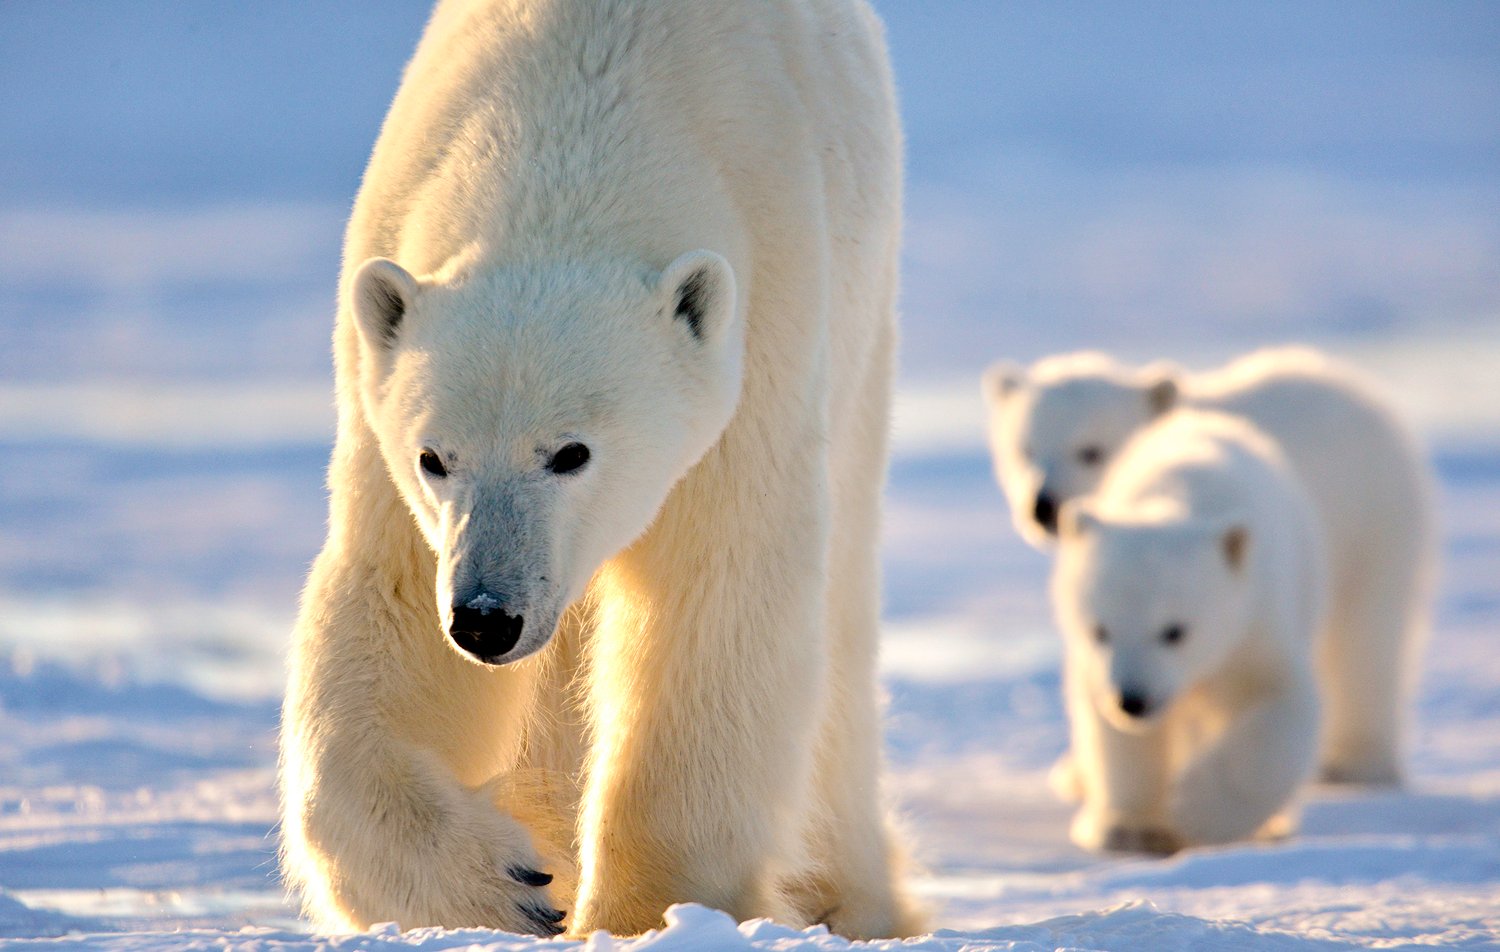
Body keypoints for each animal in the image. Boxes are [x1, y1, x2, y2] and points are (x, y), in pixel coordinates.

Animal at [280, 0, 912, 941]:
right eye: (435, 457)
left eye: (571, 452)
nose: (487, 618)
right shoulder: (381, 410)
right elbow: (390, 604)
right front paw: (507, 884)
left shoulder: (765, 333)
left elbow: (714, 605)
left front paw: (648, 912)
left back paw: (851, 898)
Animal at [990, 346, 1434, 785]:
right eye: (1025, 450)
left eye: (1091, 450)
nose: (1043, 506)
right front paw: (1078, 775)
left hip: (1374, 526)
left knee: (1365, 640)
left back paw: (1359, 763)